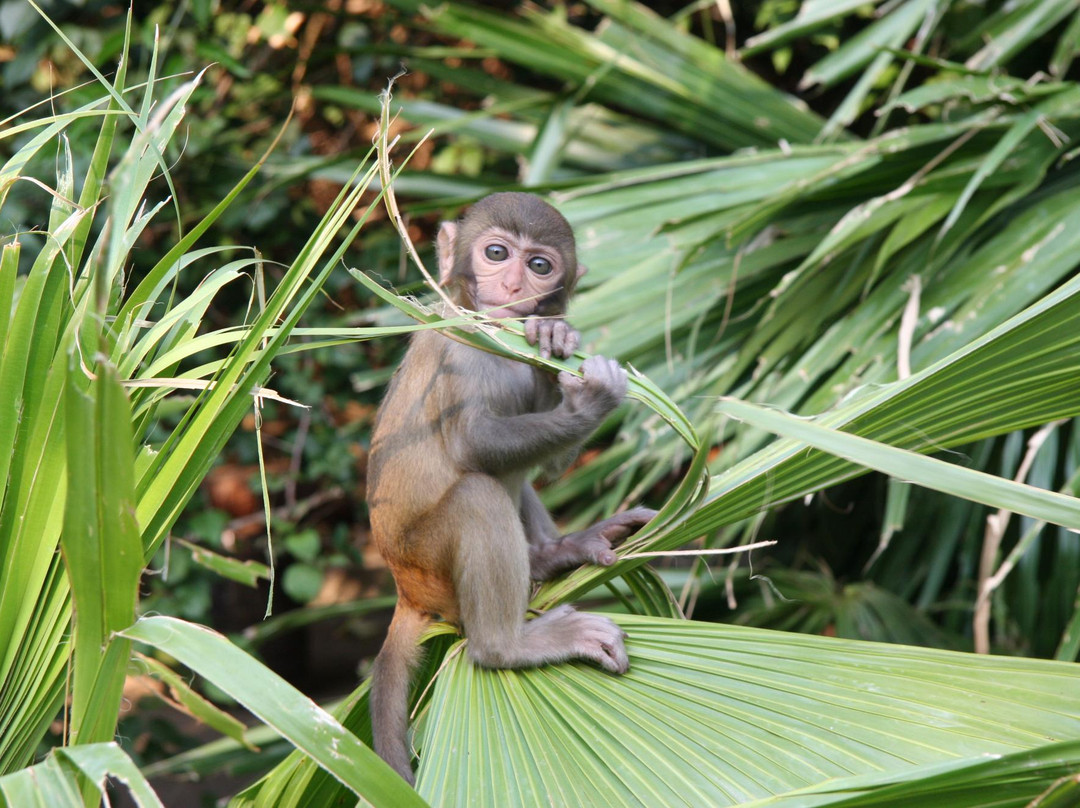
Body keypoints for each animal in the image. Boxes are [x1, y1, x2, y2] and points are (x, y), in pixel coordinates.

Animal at [367, 189, 652, 782]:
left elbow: (550, 464)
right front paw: (591, 402)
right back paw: (507, 646)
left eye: (540, 265)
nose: (516, 287)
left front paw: (554, 337)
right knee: (478, 495)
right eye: (496, 253)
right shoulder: (462, 346)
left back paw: (555, 553)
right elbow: (474, 444)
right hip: (431, 570)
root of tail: (405, 589)